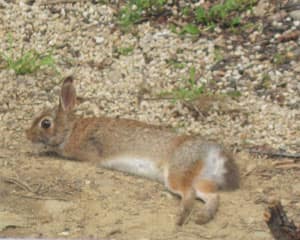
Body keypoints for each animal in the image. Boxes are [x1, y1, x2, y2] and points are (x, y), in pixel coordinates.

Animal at [27, 76, 240, 226]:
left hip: (176, 174)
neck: (70, 130)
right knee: (212, 196)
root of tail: (213, 153)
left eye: (45, 123)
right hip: (201, 178)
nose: (27, 135)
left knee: (189, 194)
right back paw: (203, 217)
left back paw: (181, 218)